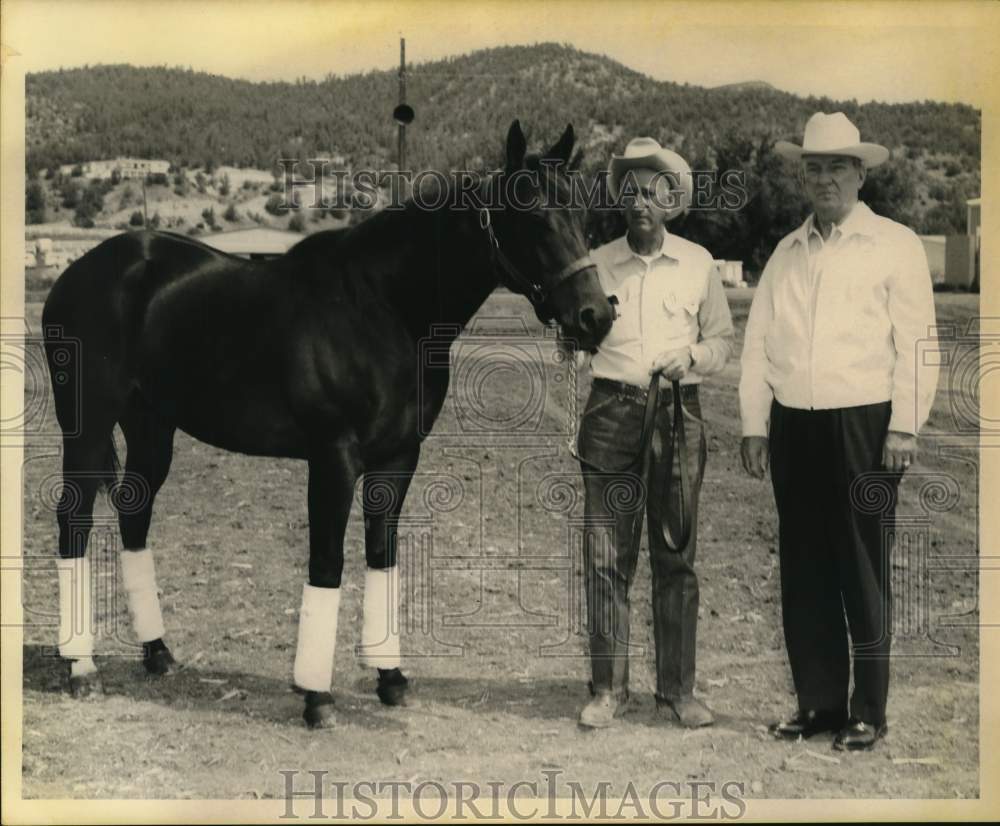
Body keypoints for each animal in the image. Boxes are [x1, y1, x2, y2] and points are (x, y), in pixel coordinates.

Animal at [43, 119, 612, 724]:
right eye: (533, 215)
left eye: (582, 213)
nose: (596, 316)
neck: (382, 309)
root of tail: (78, 274)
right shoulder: (333, 456)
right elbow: (328, 561)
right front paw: (316, 696)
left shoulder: (398, 457)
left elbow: (381, 556)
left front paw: (390, 678)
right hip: (87, 426)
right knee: (74, 518)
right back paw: (80, 666)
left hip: (152, 427)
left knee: (134, 514)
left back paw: (156, 652)